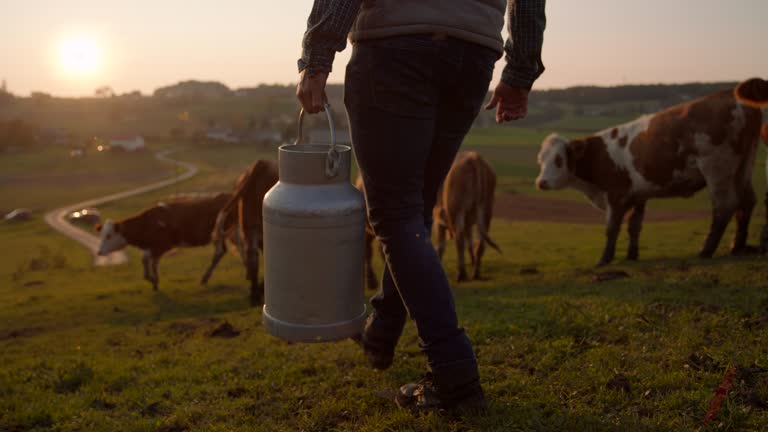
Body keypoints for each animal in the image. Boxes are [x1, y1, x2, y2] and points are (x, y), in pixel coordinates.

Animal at [96, 194, 240, 292]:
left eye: (108, 236)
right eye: (101, 235)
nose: (99, 252)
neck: (147, 223)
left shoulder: (162, 245)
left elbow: (151, 262)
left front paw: (153, 280)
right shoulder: (152, 247)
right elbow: (146, 260)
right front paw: (152, 280)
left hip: (233, 233)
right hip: (220, 236)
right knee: (220, 252)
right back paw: (205, 278)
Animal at [436, 151, 500, 280]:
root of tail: (474, 156)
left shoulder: (438, 220)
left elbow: (441, 246)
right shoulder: (468, 223)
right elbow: (469, 242)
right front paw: (472, 260)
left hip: (457, 211)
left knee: (459, 239)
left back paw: (461, 274)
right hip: (486, 210)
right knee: (480, 243)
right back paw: (475, 273)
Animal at [536, 78, 768, 266]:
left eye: (559, 160)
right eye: (540, 159)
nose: (541, 183)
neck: (599, 154)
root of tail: (730, 93)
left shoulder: (616, 195)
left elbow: (612, 228)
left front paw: (604, 259)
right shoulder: (638, 196)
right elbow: (634, 226)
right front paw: (631, 256)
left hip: (717, 169)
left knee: (724, 206)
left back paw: (706, 250)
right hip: (744, 166)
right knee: (747, 203)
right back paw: (737, 247)